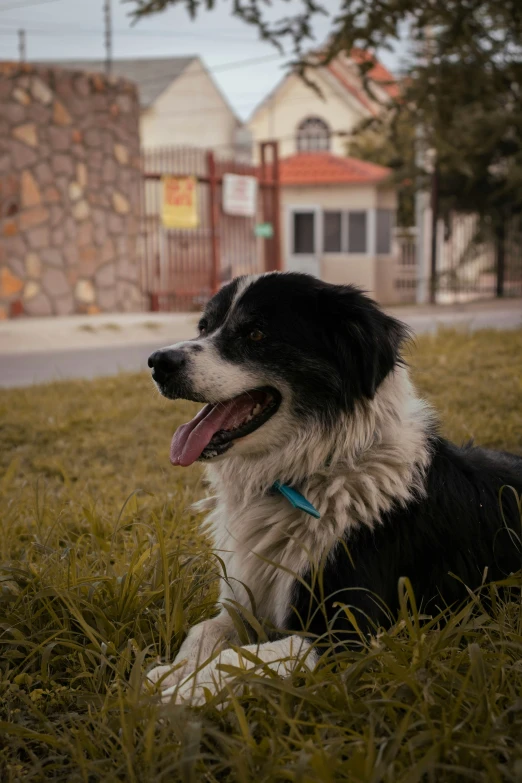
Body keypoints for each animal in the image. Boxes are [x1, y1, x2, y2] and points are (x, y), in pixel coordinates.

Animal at [145, 272, 520, 704]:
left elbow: (236, 658)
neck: (312, 472)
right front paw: (174, 672)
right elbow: (203, 629)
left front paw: (182, 694)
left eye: (256, 333)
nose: (158, 362)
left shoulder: (348, 631)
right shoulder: (246, 599)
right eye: (204, 327)